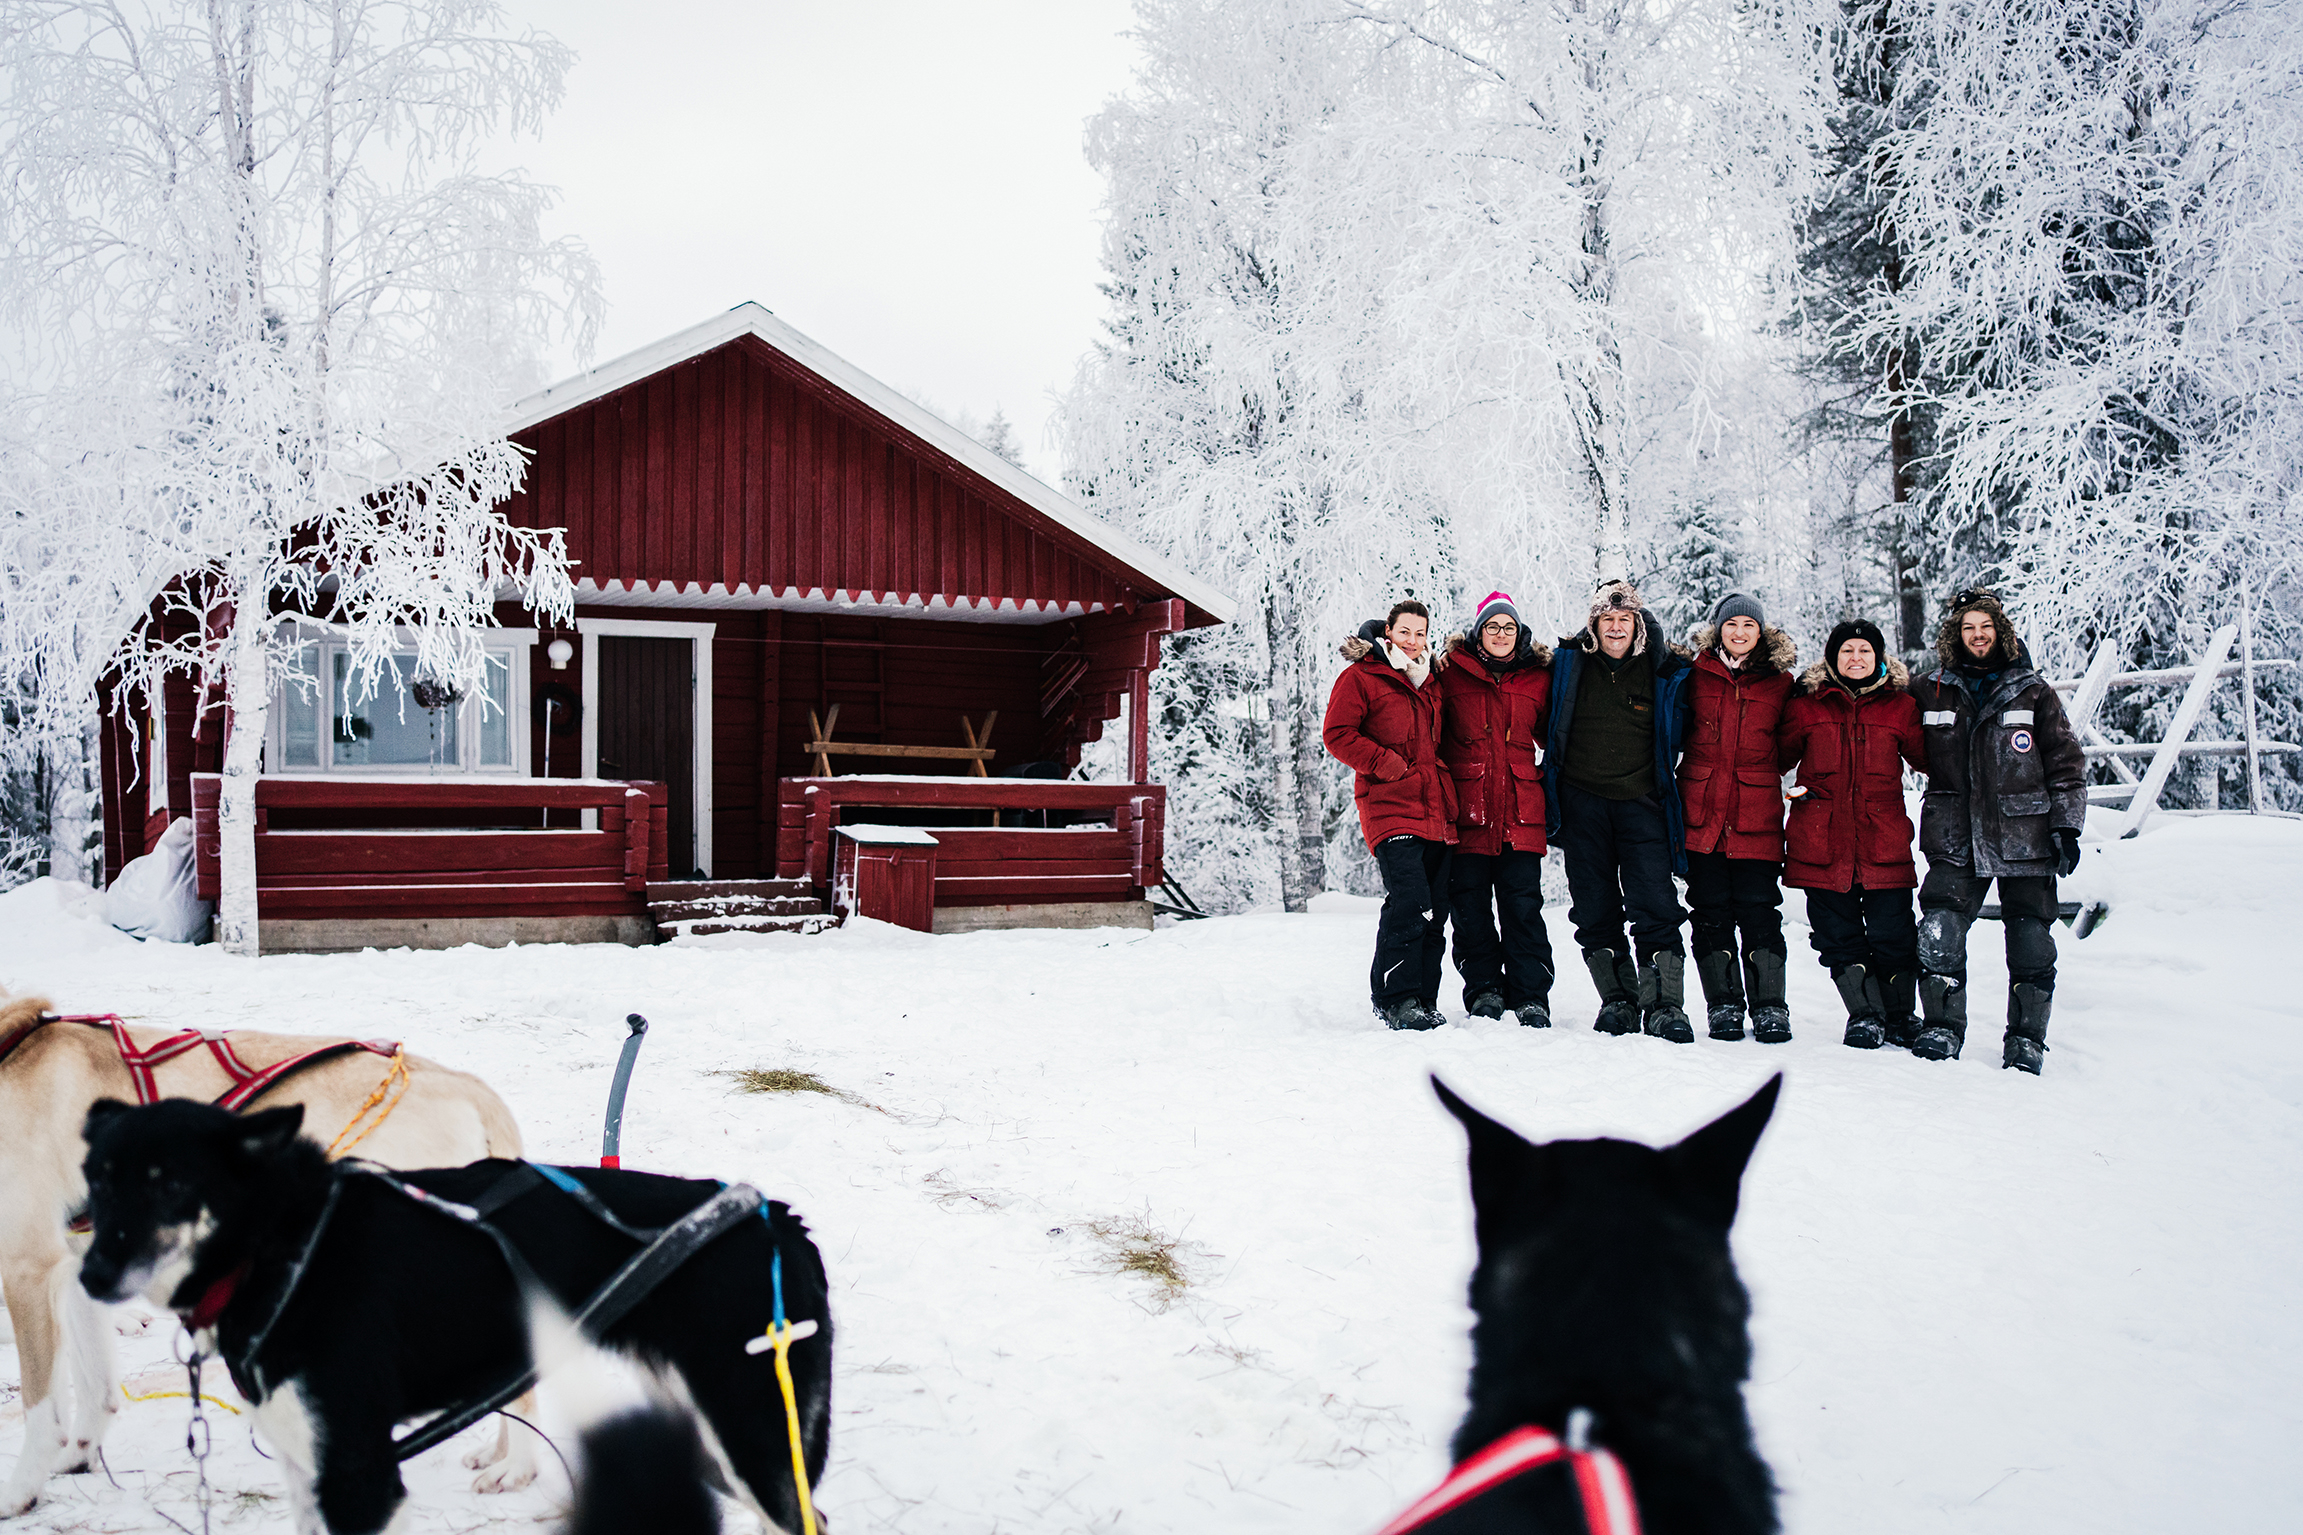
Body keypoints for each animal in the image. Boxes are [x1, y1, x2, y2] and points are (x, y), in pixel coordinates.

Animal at [0, 989, 527, 1518]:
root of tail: (465, 1085)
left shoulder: (26, 1271)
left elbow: (40, 1408)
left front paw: (20, 1491)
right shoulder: (79, 1272)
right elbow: (97, 1391)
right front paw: (76, 1458)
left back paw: (518, 1469)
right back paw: (501, 1454)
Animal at [83, 1100, 838, 1535]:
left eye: (171, 1183)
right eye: (97, 1178)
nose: (90, 1274)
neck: (287, 1243)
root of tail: (777, 1217)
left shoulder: (360, 1479)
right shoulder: (308, 1471)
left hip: (748, 1438)